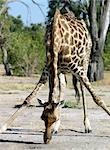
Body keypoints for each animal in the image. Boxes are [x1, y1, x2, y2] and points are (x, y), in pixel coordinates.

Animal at [38, 8, 110, 144]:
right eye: (42, 118)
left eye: (54, 119)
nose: (46, 139)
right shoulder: (51, 67)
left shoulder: (76, 68)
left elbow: (97, 98)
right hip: (62, 70)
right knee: (62, 88)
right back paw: (57, 129)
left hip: (85, 60)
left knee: (82, 88)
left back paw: (87, 126)